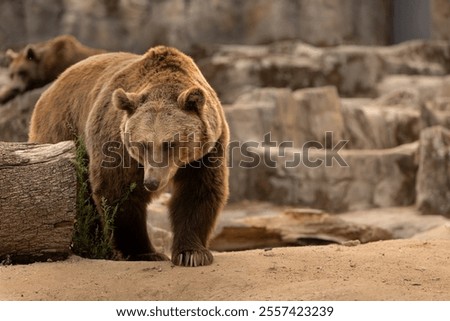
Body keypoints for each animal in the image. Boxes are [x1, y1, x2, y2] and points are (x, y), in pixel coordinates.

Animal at [29, 45, 230, 264]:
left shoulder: (207, 150)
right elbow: (118, 191)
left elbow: (198, 191)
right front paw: (146, 252)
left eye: (170, 143)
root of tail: (50, 88)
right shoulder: (116, 144)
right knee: (80, 195)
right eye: (142, 144)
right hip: (64, 128)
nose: (152, 182)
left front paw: (192, 253)